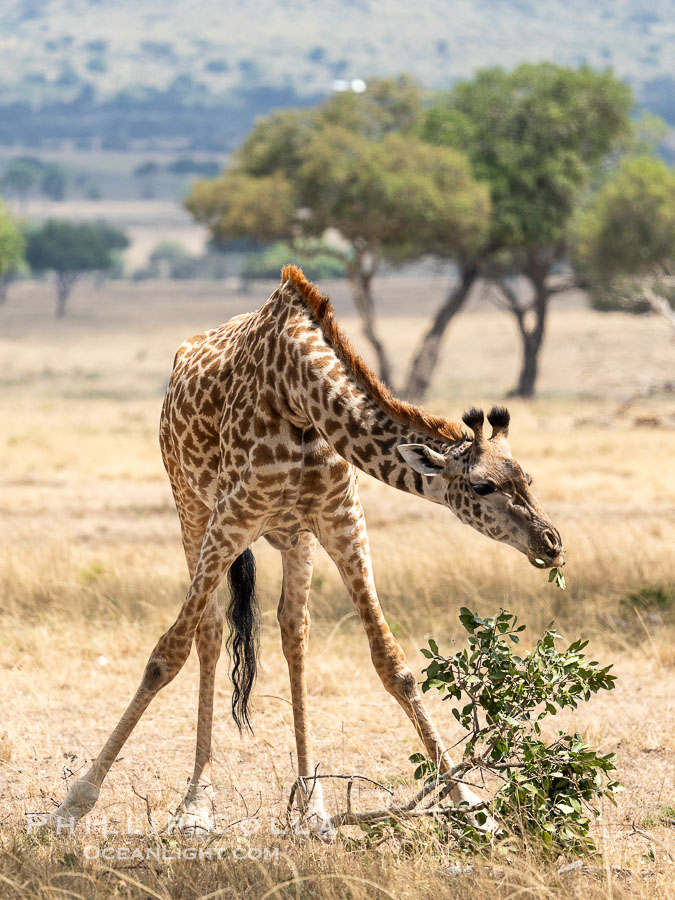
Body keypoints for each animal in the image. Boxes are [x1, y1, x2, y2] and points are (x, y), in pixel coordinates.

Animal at [47, 265, 563, 835]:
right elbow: (165, 655)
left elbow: (393, 665)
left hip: (295, 537)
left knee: (293, 630)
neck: (301, 396)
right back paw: (196, 803)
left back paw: (311, 802)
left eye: (527, 478)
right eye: (483, 487)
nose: (551, 543)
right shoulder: (233, 514)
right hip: (192, 509)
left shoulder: (342, 521)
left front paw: (471, 805)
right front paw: (73, 804)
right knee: (209, 630)